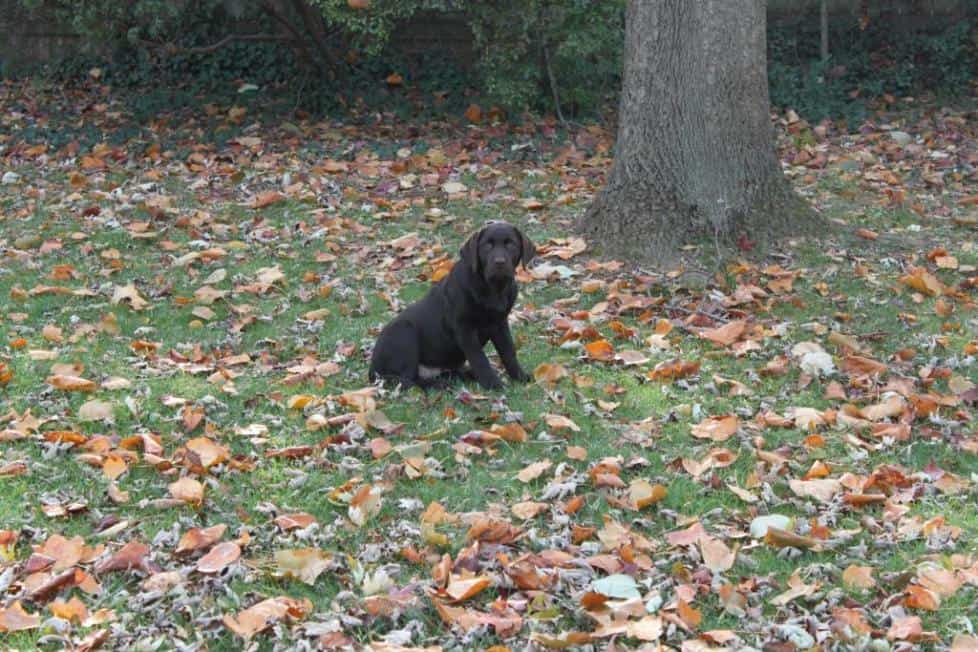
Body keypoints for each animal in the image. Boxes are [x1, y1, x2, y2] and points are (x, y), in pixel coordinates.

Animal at [368, 222, 532, 390]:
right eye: (487, 245)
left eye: (510, 244)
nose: (499, 262)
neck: (493, 289)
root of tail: (372, 371)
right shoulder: (464, 328)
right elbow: (479, 358)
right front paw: (492, 383)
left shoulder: (499, 324)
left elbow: (508, 352)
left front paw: (519, 376)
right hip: (404, 332)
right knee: (405, 380)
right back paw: (439, 383)